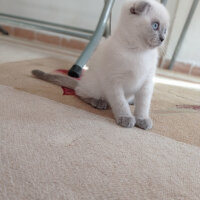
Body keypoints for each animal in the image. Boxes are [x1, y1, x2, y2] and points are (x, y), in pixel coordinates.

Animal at [31, 0, 169, 130]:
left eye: (165, 31)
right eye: (155, 25)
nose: (162, 39)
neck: (139, 51)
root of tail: (82, 81)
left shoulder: (147, 82)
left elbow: (143, 106)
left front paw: (142, 120)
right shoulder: (114, 81)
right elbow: (120, 103)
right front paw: (126, 118)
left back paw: (131, 101)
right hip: (95, 87)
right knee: (80, 92)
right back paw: (99, 102)